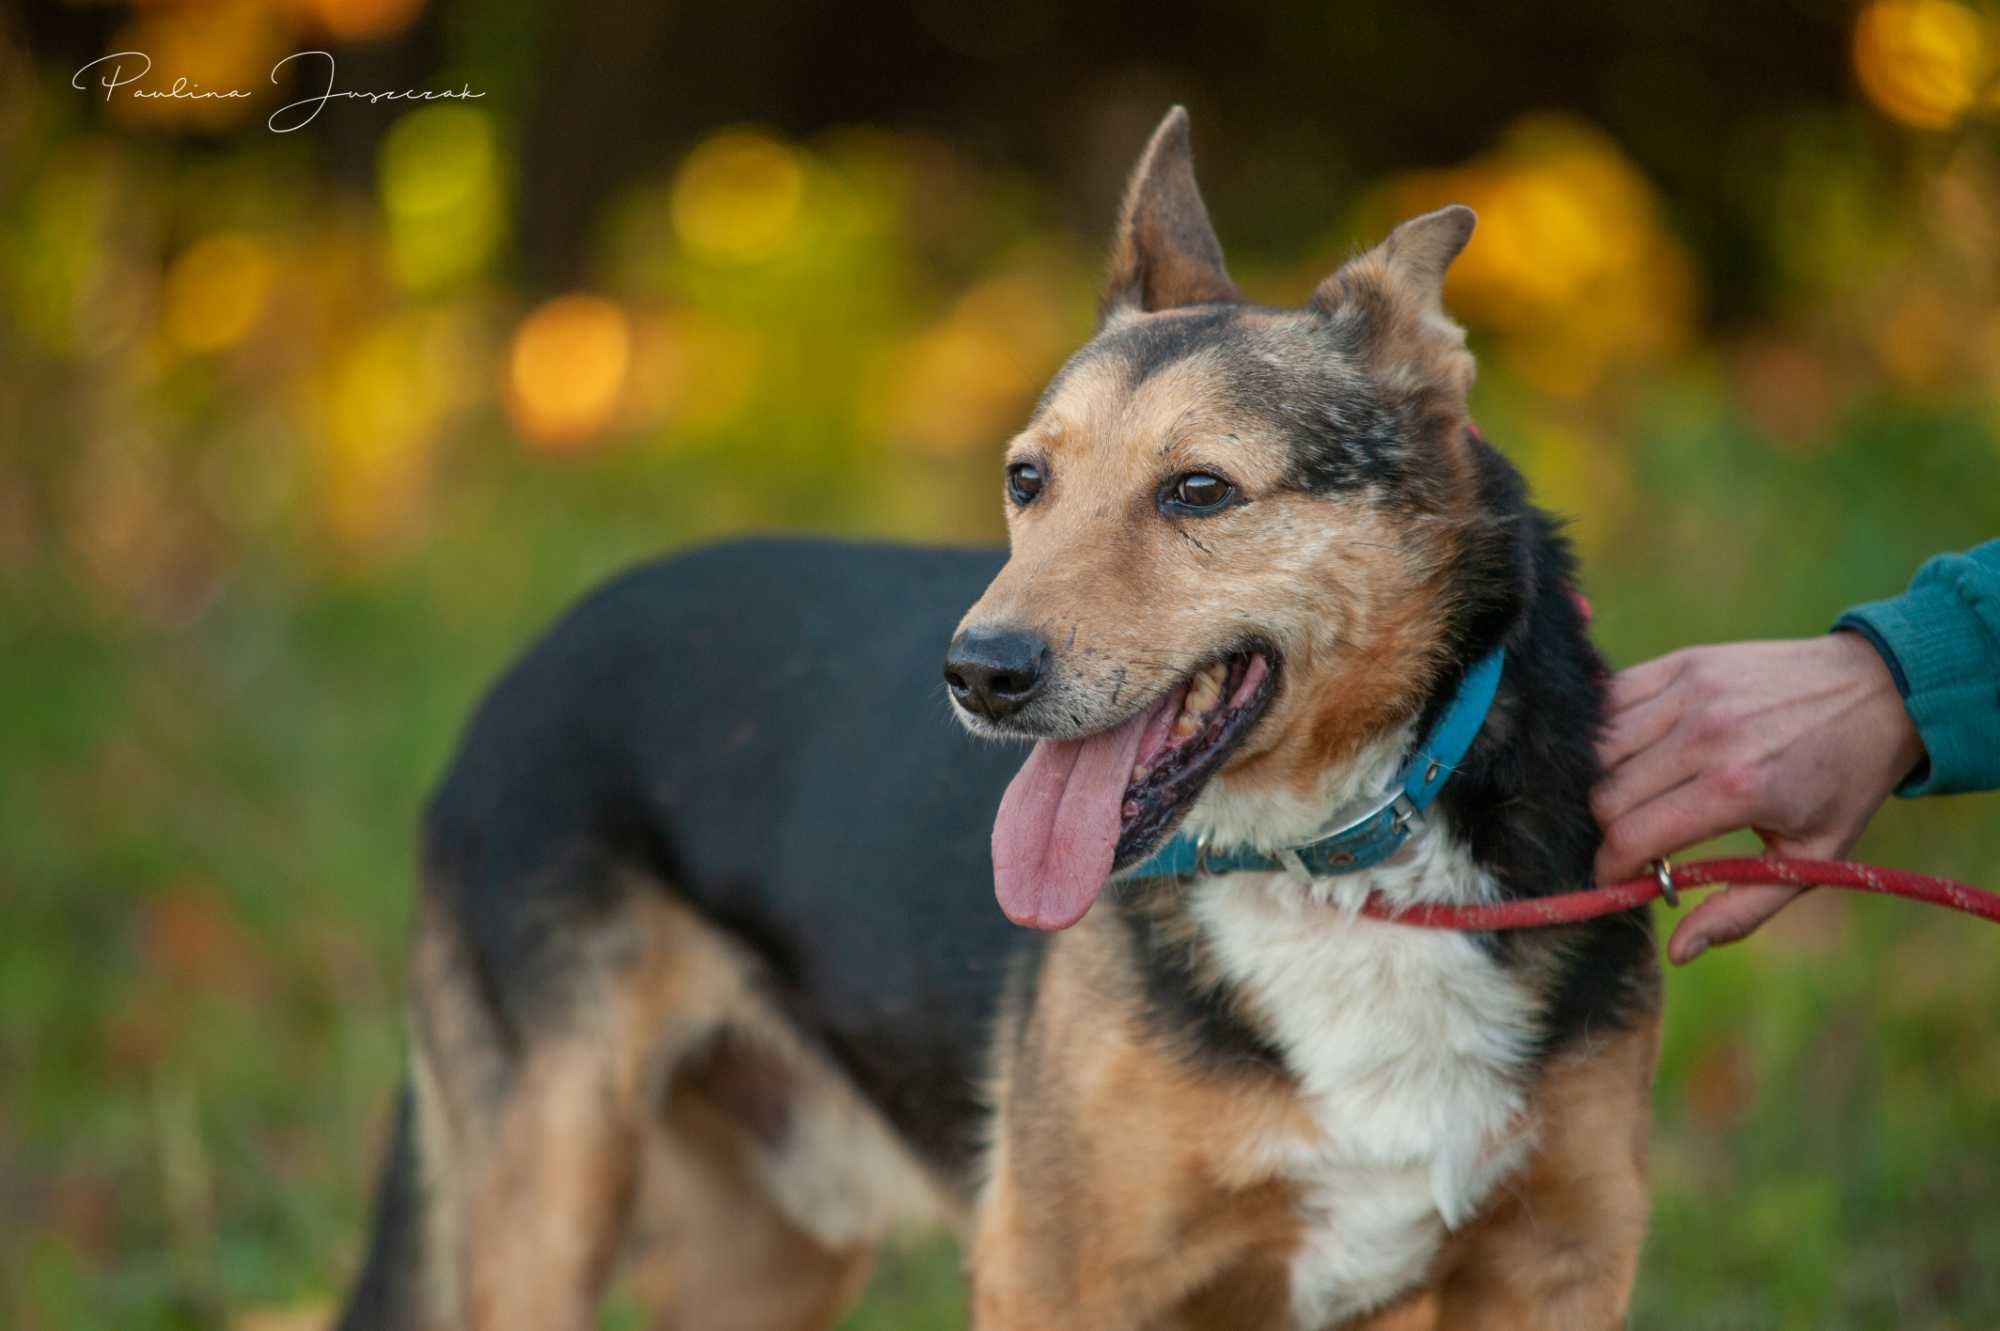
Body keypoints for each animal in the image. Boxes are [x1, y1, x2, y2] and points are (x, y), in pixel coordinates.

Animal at [340, 106, 1656, 1327]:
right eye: (1028, 480)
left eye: (1198, 490)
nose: (978, 673)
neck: (1336, 871)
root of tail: (534, 652)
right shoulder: (1057, 1275)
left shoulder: (1555, 1268)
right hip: (547, 1201)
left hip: (766, 1252)